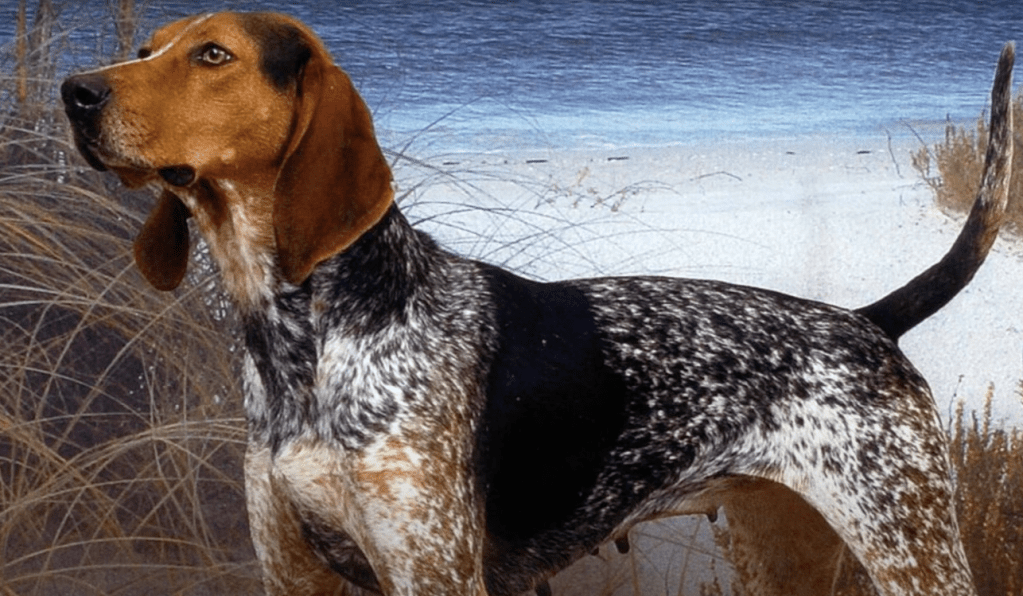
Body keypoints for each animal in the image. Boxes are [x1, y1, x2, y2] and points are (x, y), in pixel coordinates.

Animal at [63, 10, 1014, 596]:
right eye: (146, 46)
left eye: (212, 55)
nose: (75, 91)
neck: (307, 341)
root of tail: (865, 320)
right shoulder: (293, 573)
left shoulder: (432, 571)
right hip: (779, 550)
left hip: (908, 541)